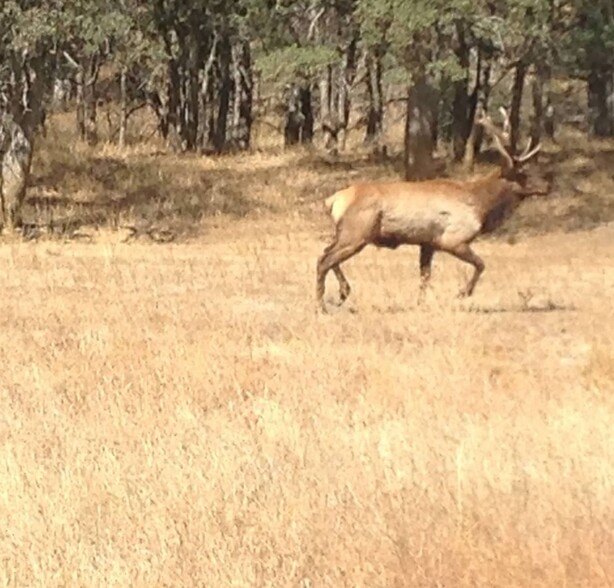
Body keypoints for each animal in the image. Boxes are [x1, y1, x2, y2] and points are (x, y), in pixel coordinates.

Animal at [318, 109, 552, 312]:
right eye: (523, 173)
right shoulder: (452, 240)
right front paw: (462, 293)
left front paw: (420, 305)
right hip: (357, 233)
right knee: (324, 260)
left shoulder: (427, 243)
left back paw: (342, 293)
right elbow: (481, 264)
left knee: (326, 253)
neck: (481, 206)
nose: (548, 185)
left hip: (347, 233)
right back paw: (322, 306)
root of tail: (334, 200)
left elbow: (424, 276)